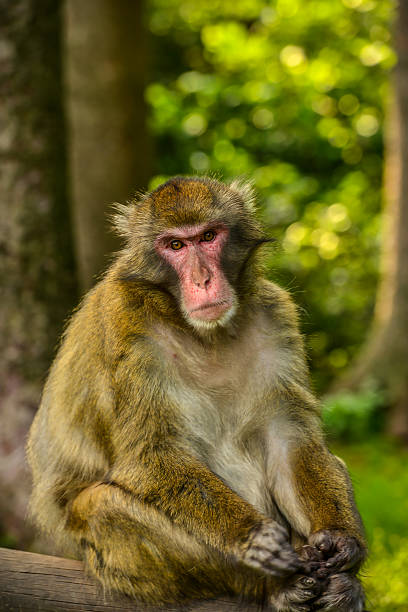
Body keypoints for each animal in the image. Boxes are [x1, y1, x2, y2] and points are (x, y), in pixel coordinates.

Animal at [26, 175, 366, 608]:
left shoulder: (276, 315)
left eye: (207, 236)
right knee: (101, 506)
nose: (203, 279)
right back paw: (273, 587)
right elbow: (151, 454)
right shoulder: (125, 324)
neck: (204, 333)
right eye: (175, 245)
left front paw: (342, 544)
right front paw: (252, 536)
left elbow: (289, 440)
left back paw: (342, 585)